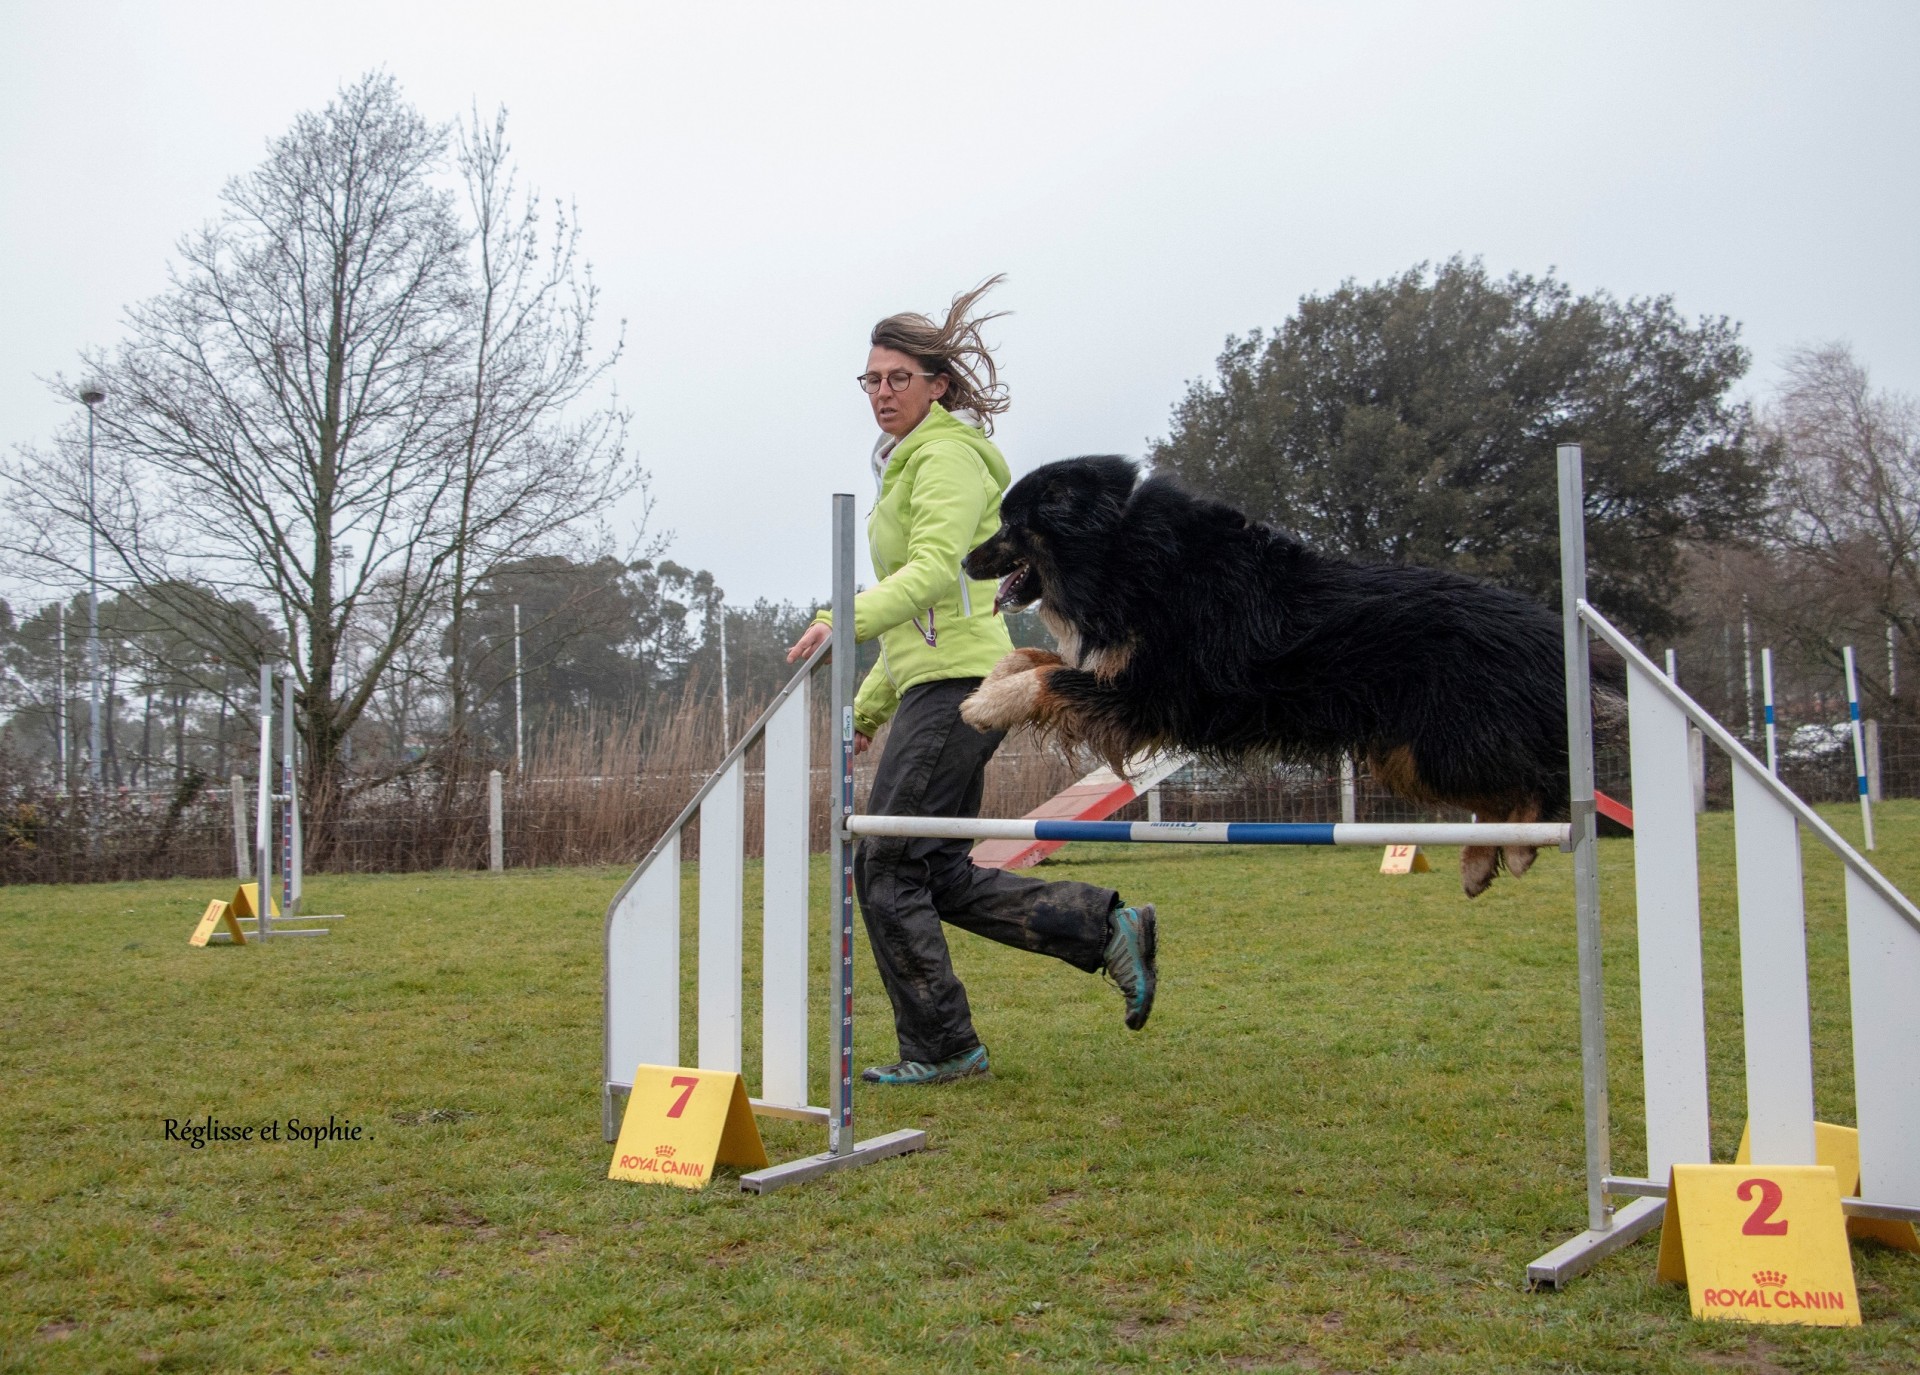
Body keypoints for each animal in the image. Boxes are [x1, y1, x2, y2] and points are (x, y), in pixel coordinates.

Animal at [960, 457, 1620, 898]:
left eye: (1009, 525)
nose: (965, 560)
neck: (1116, 547)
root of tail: (1554, 629)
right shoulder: (1116, 676)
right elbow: (1033, 661)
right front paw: (987, 687)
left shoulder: (1149, 696)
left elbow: (1047, 681)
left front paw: (984, 708)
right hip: (1406, 756)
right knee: (1505, 792)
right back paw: (1481, 862)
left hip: (1446, 743)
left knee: (1541, 784)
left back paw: (1513, 849)